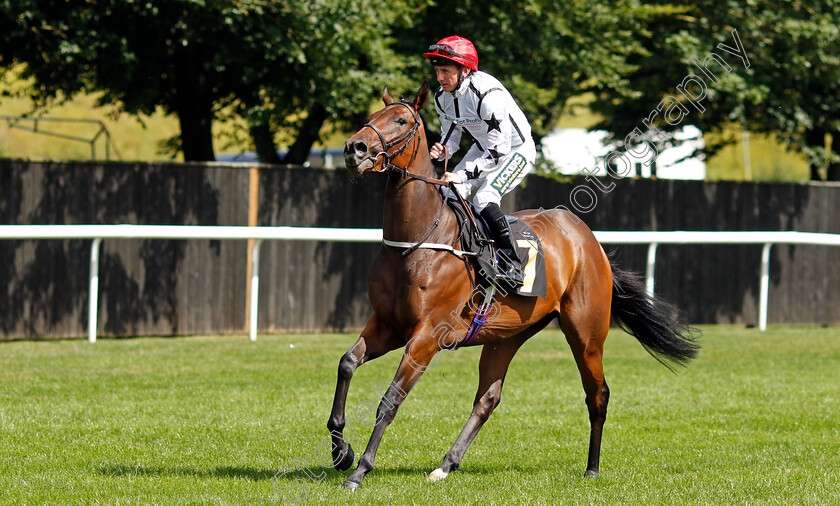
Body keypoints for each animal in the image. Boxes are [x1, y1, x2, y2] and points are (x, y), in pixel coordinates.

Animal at [332, 81, 700, 488]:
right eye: (371, 116)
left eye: (401, 120)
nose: (354, 148)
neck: (418, 241)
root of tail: (590, 242)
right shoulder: (388, 325)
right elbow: (347, 363)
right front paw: (340, 449)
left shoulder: (426, 336)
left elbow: (390, 399)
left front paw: (360, 470)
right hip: (505, 337)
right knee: (487, 399)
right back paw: (445, 465)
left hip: (585, 333)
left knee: (598, 394)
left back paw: (592, 467)